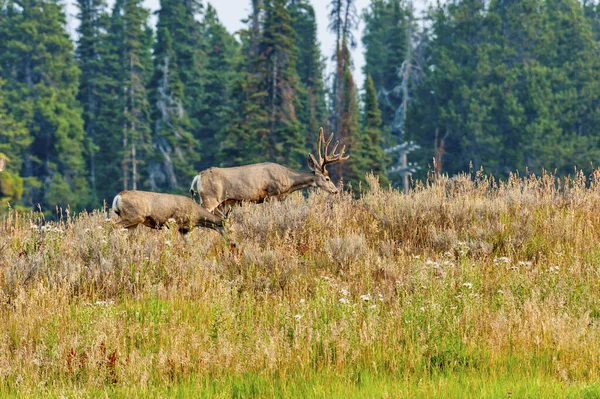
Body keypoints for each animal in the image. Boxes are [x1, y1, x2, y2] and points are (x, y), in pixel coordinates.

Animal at [190, 128, 350, 216]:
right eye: (327, 178)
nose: (336, 191)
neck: (288, 180)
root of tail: (198, 177)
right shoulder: (273, 194)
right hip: (209, 199)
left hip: (218, 203)